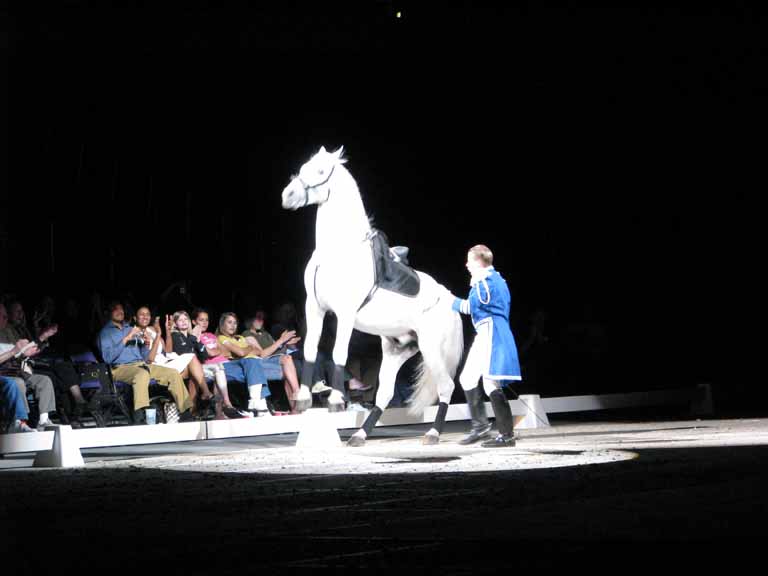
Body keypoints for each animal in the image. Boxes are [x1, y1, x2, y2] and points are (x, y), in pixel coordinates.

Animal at [280, 146, 462, 448]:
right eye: (303, 166)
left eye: (321, 171)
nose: (288, 196)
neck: (337, 251)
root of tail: (452, 300)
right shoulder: (314, 307)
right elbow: (310, 349)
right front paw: (305, 398)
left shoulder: (344, 313)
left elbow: (338, 353)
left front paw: (336, 401)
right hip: (396, 349)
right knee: (385, 394)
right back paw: (359, 435)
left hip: (430, 347)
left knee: (446, 386)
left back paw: (433, 434)